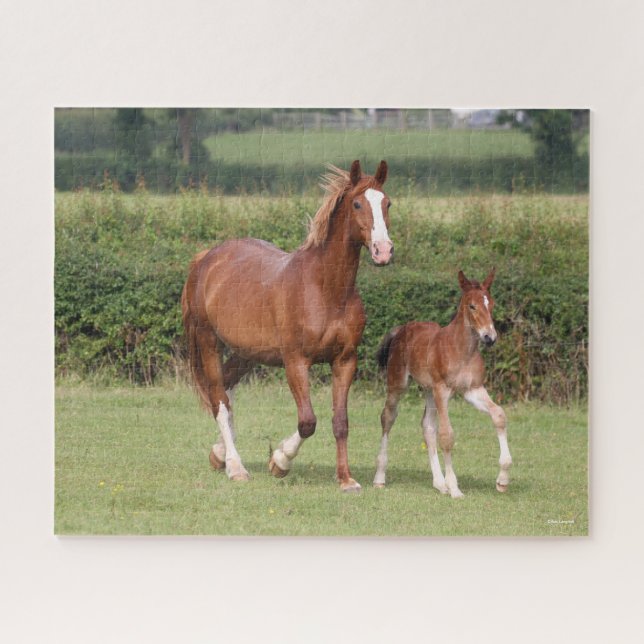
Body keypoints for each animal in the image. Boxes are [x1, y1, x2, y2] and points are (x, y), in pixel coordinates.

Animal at [181, 160, 393, 492]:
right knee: (219, 399)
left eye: (387, 203)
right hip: (208, 342)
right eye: (357, 204)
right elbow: (307, 421)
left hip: (247, 352)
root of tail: (206, 259)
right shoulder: (296, 361)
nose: (383, 251)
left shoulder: (345, 361)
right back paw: (235, 466)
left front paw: (346, 479)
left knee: (227, 390)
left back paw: (219, 454)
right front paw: (279, 461)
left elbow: (340, 422)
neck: (326, 290)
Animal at [373, 268, 511, 497]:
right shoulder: (443, 390)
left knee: (427, 427)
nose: (489, 337)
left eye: (491, 304)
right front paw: (454, 487)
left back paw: (439, 483)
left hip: (429, 390)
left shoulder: (473, 389)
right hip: (398, 384)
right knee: (388, 417)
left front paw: (502, 479)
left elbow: (499, 415)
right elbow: (447, 435)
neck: (461, 350)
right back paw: (380, 477)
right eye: (472, 306)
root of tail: (402, 329)